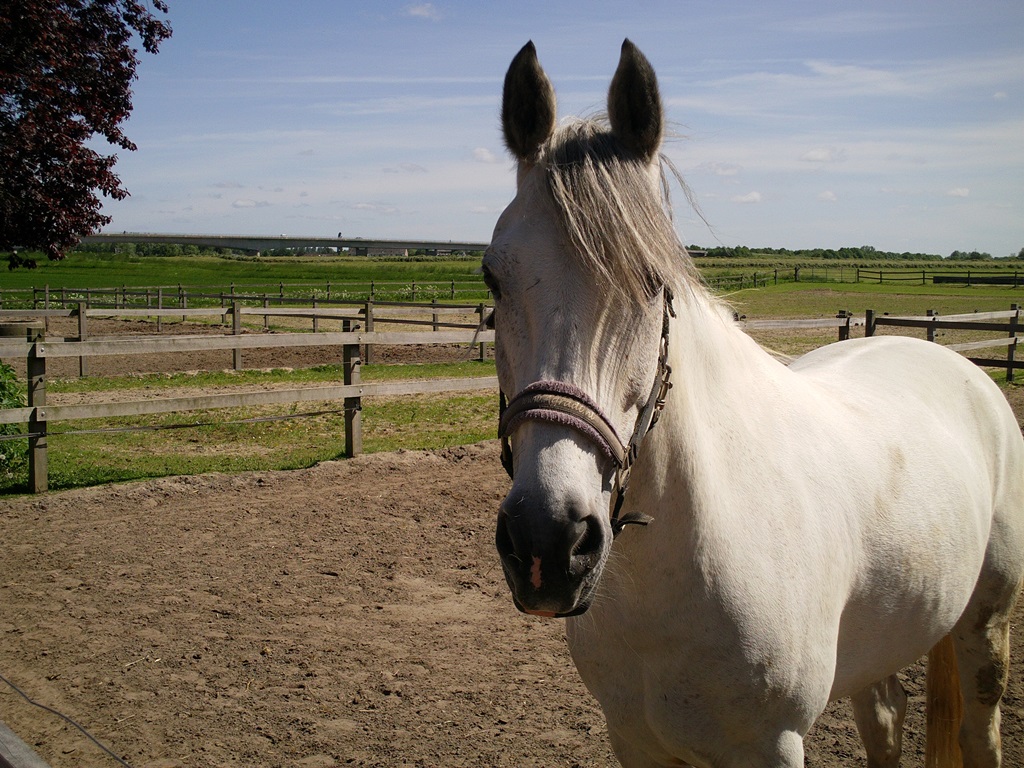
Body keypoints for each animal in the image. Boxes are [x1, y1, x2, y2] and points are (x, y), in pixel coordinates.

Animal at [487, 39, 1024, 765]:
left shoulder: (769, 745)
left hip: (985, 622)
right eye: (492, 275)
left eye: (654, 281)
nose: (548, 542)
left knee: (979, 728)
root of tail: (957, 366)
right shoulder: (635, 741)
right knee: (886, 718)